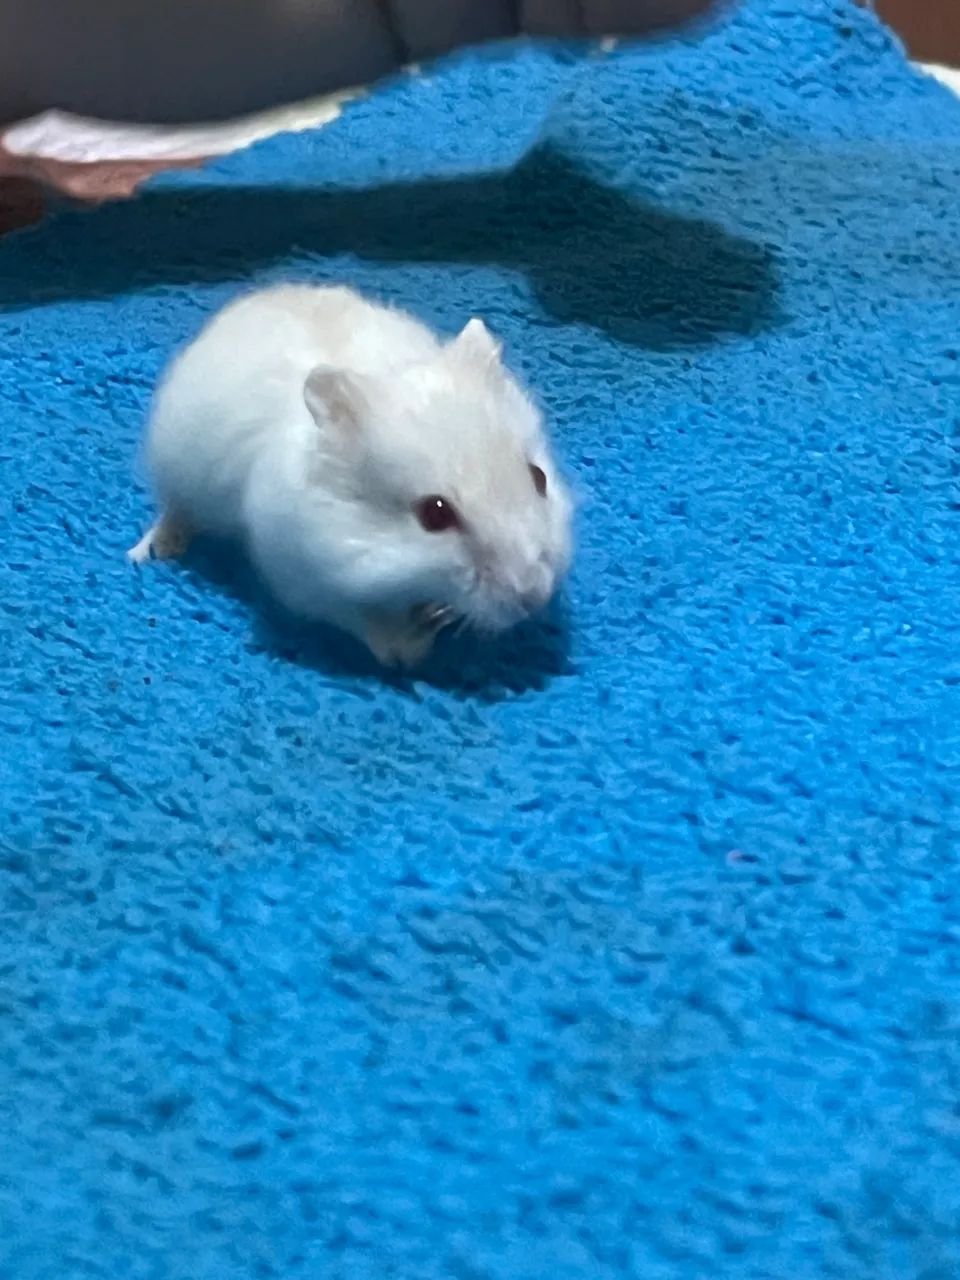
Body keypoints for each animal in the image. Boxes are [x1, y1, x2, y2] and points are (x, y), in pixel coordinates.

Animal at [128, 284, 573, 667]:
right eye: (435, 514)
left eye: (539, 478)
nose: (535, 597)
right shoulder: (306, 579)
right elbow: (365, 620)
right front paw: (412, 648)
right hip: (178, 468)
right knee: (174, 509)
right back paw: (151, 552)